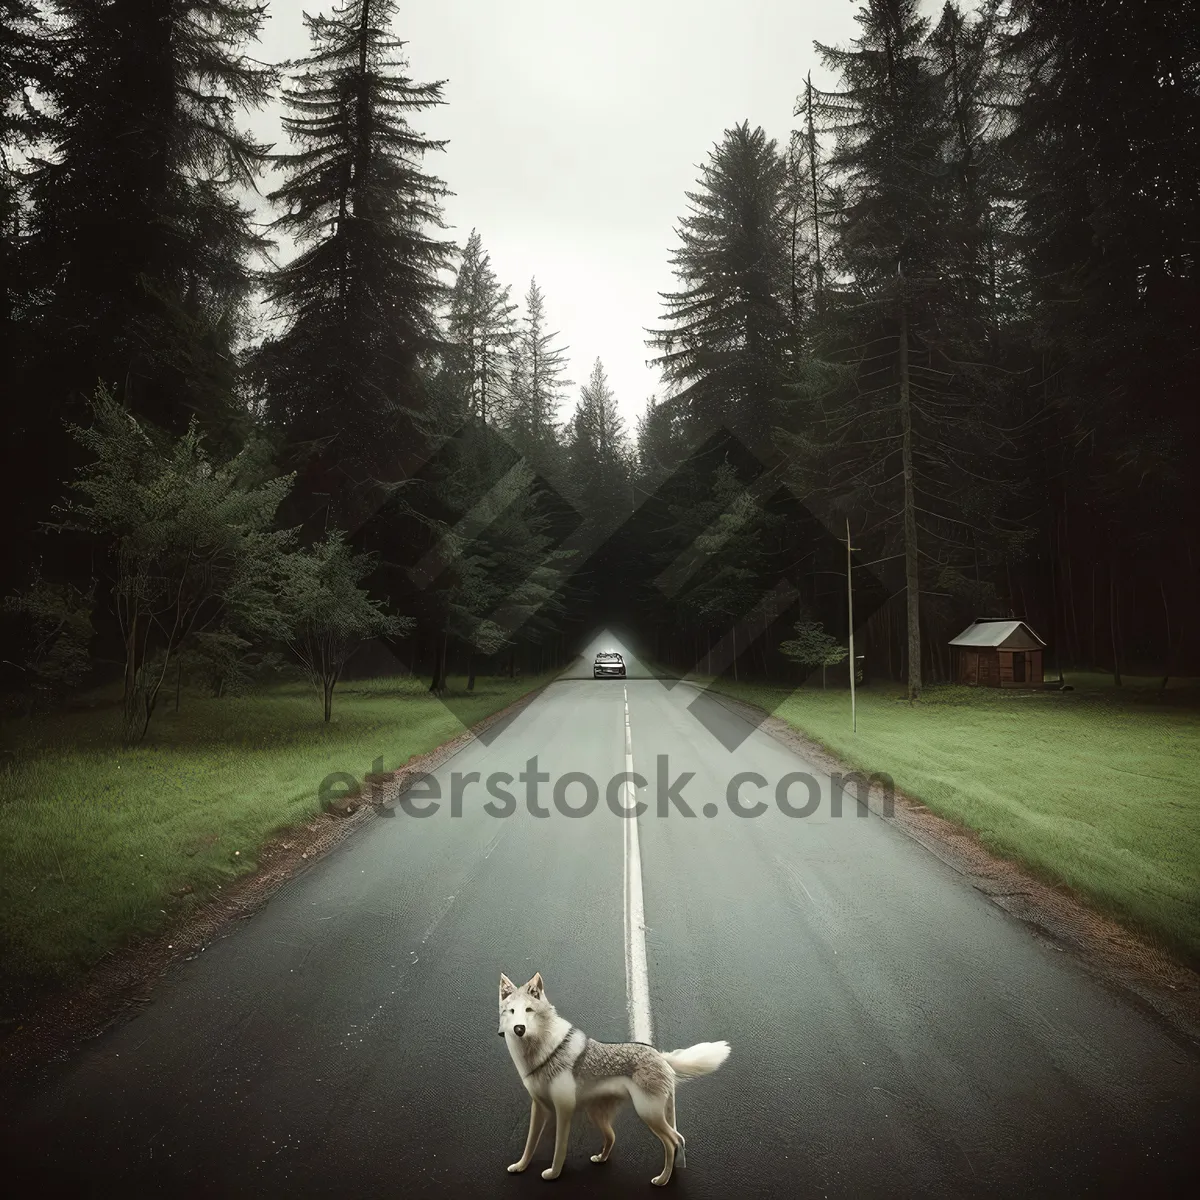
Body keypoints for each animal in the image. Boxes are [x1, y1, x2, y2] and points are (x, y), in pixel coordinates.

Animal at [494, 969, 724, 1185]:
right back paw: (605, 1159)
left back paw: (662, 1180)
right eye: (511, 1011)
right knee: (621, 1137)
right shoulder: (539, 1107)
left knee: (673, 1141)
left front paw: (553, 1174)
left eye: (529, 1010)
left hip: (648, 1115)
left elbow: (559, 1149)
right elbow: (530, 1144)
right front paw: (520, 1167)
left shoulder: (564, 1109)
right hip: (601, 1114)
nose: (519, 1029)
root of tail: (660, 1055)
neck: (542, 1053)